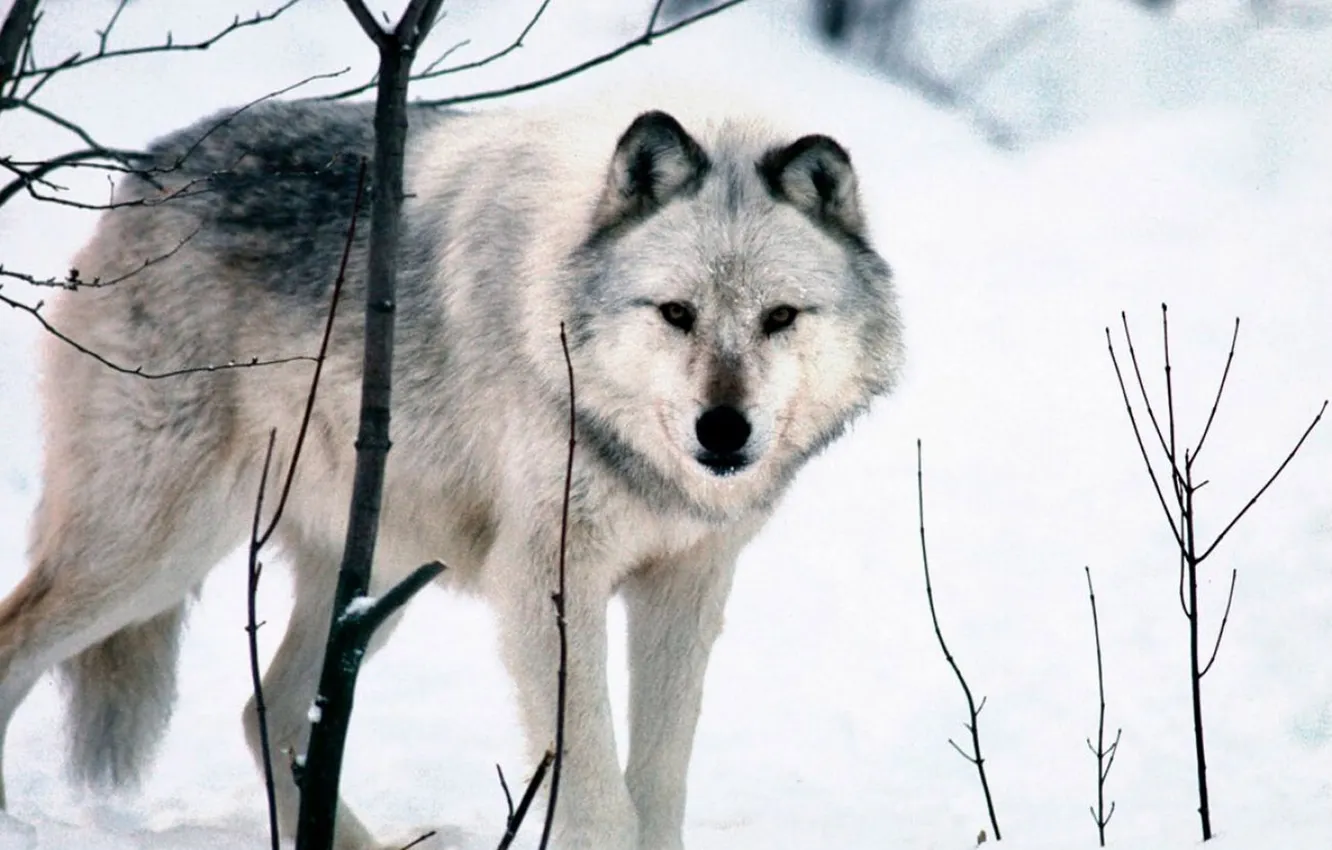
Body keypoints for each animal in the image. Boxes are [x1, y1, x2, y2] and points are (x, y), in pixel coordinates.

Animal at [0, 93, 901, 849]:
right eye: (676, 313)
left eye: (779, 318)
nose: (724, 429)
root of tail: (152, 165)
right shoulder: (547, 581)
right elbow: (598, 798)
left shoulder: (686, 586)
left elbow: (659, 787)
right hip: (156, 552)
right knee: (18, 646)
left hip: (372, 580)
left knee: (270, 713)